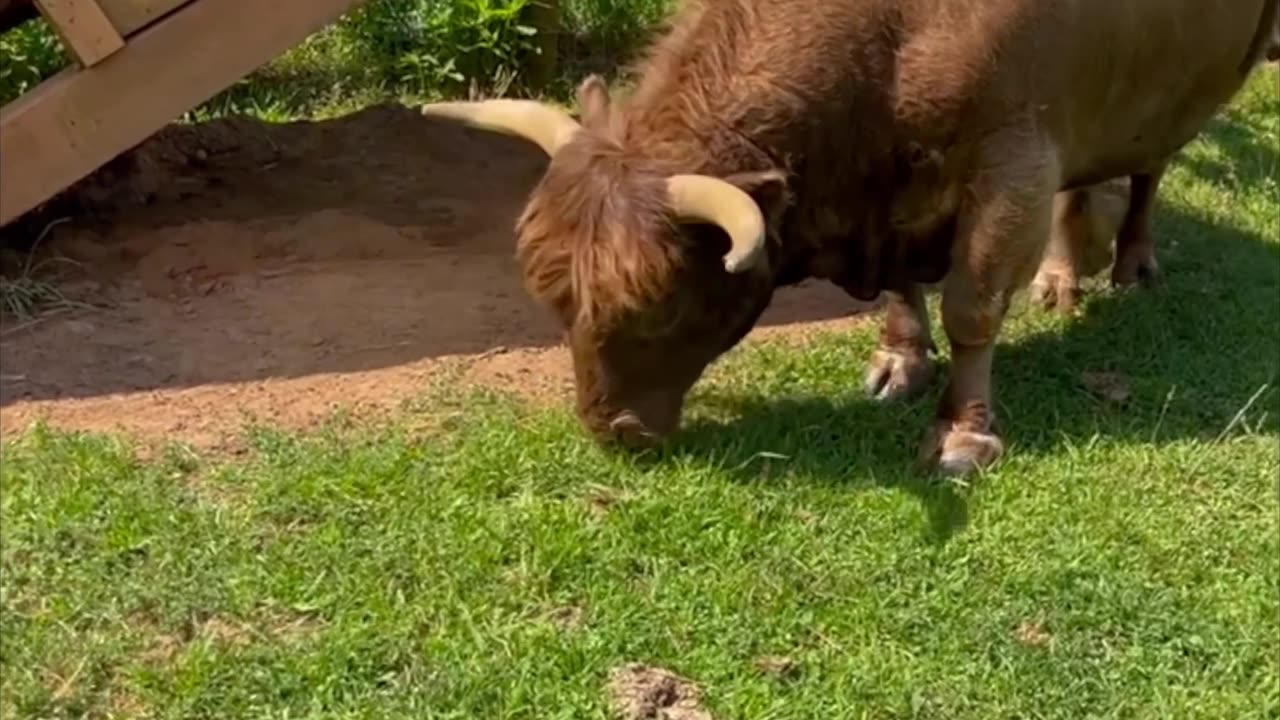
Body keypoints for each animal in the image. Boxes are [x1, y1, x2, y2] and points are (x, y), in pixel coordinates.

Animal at [427, 0, 1280, 474]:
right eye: (556, 301)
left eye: (666, 308)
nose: (614, 431)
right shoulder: (887, 193)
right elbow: (904, 292)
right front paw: (900, 361)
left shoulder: (1016, 162)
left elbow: (973, 308)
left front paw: (962, 434)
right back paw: (1062, 278)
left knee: (1149, 171)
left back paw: (1133, 263)